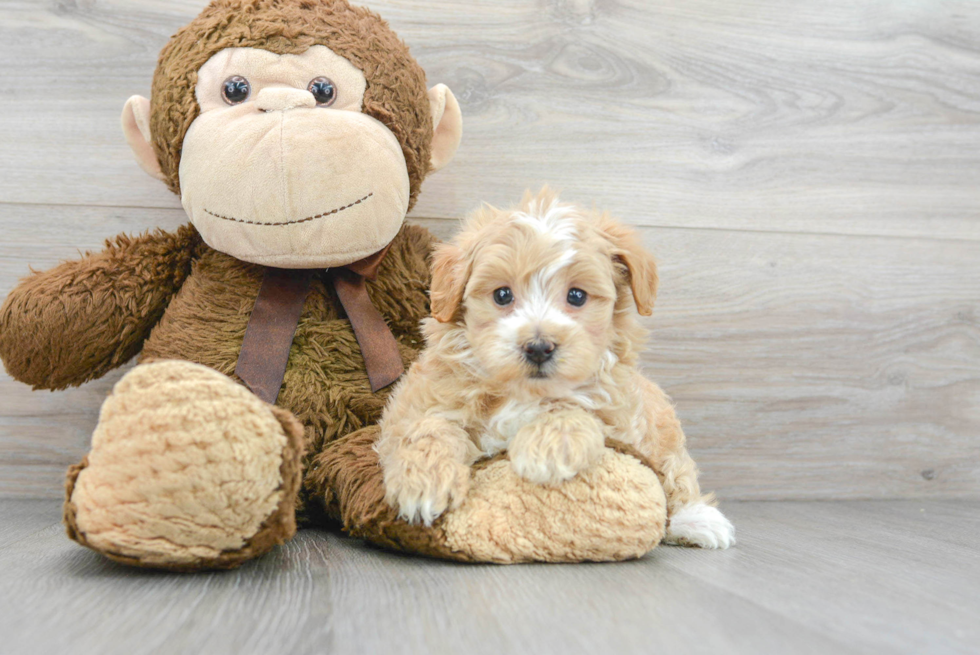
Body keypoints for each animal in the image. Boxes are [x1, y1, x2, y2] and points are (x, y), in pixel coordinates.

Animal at [376, 188, 736, 548]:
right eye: (502, 295)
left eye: (576, 296)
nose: (538, 347)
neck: (522, 393)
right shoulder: (418, 402)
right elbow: (428, 427)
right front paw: (422, 481)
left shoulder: (620, 415)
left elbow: (575, 409)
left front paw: (545, 450)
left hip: (664, 434)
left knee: (676, 473)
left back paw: (697, 520)